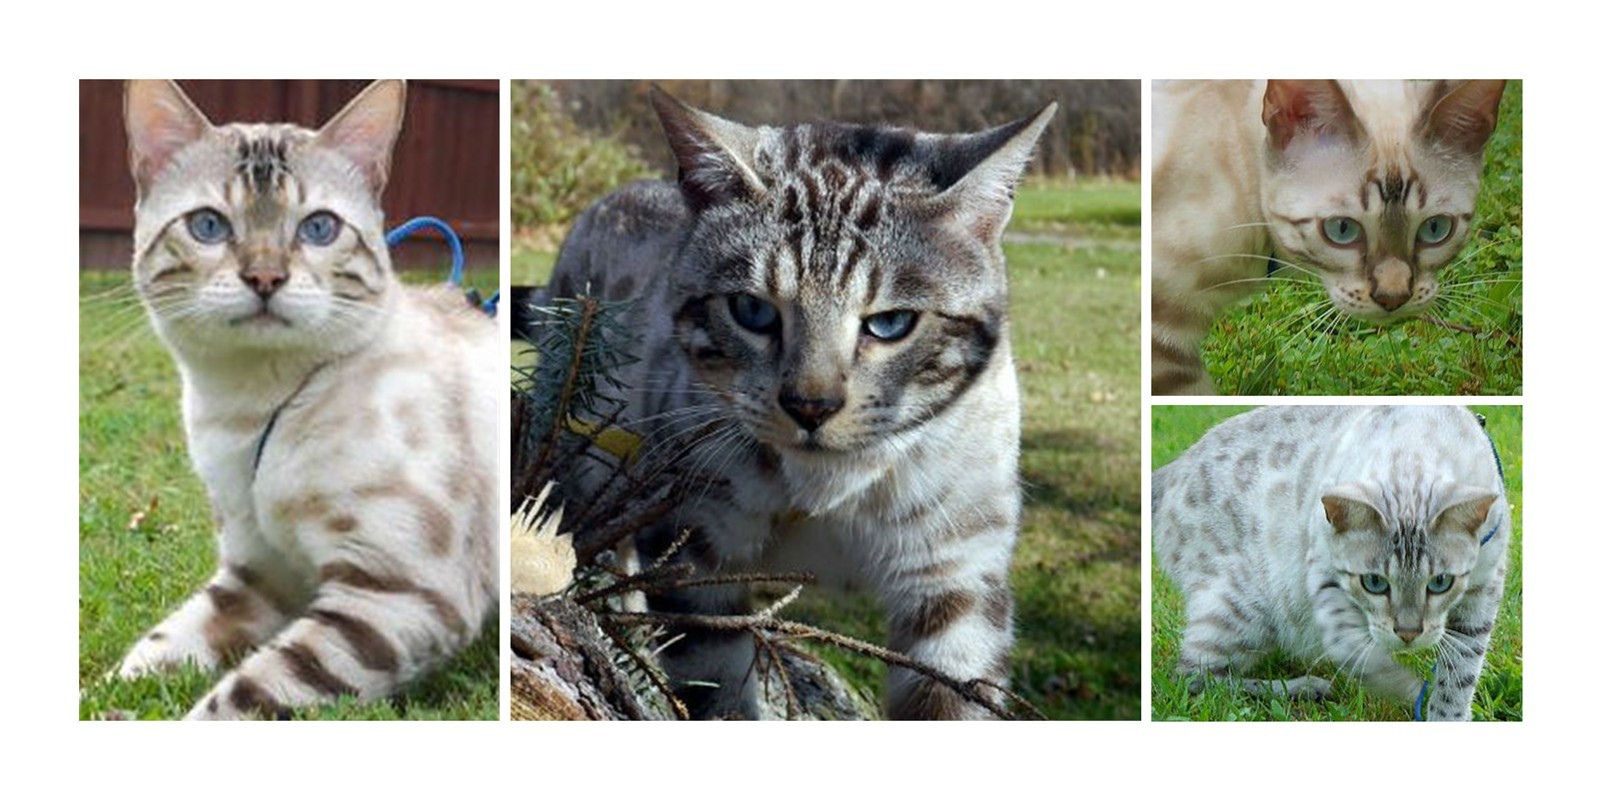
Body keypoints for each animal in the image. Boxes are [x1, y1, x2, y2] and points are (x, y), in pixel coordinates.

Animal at [113, 79, 496, 720]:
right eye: (209, 226)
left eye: (318, 228)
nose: (266, 279)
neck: (251, 413)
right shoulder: (259, 572)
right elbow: (152, 651)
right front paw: (114, 698)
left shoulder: (397, 594)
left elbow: (239, 698)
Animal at [544, 90, 1056, 723]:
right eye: (752, 311)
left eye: (891, 323)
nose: (811, 405)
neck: (833, 488)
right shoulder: (696, 552)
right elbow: (721, 693)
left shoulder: (956, 578)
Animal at [1152, 406, 1510, 720]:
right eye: (1374, 583)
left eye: (1440, 583)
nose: (1408, 635)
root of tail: (1175, 466)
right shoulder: (1325, 579)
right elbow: (1352, 649)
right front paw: (1405, 687)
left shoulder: (1483, 590)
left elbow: (1460, 673)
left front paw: (1446, 717)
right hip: (1245, 607)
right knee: (1195, 677)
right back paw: (1306, 687)